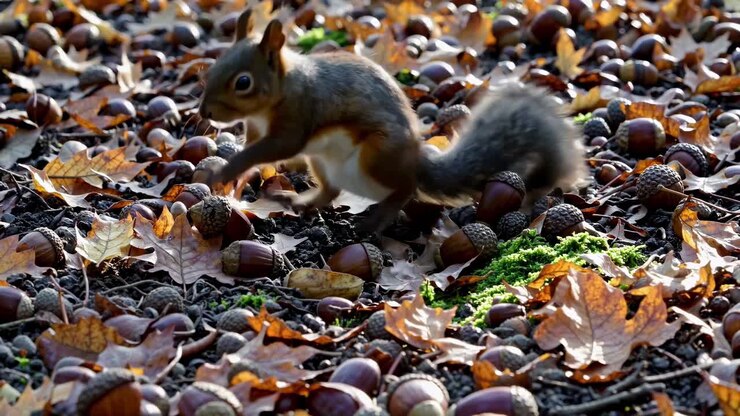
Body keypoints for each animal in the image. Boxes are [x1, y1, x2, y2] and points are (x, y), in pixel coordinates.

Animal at [199, 9, 588, 232]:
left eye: (243, 82)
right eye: (214, 67)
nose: (204, 112)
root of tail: (416, 161)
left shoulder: (298, 115)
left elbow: (269, 149)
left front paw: (227, 170)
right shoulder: (257, 130)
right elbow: (253, 149)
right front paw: (229, 174)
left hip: (378, 155)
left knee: (404, 189)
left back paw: (378, 219)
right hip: (321, 161)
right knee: (331, 190)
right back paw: (301, 202)